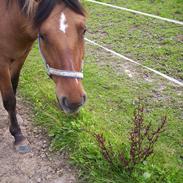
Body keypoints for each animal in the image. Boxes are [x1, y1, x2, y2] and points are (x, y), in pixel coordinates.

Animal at [0, 0, 87, 153]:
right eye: (43, 35)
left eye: (83, 30)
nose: (74, 101)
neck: (7, 20)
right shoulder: (2, 62)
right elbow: (9, 100)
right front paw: (18, 136)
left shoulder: (20, 58)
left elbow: (14, 90)